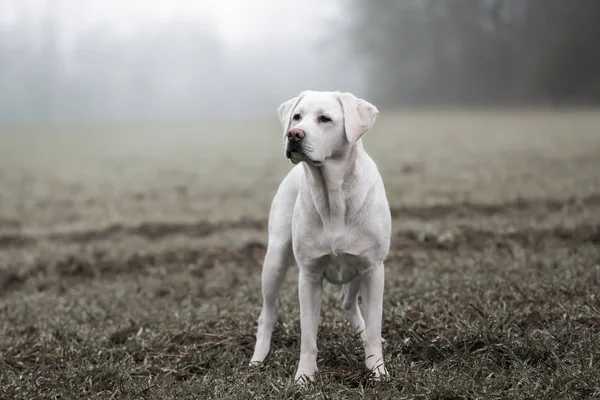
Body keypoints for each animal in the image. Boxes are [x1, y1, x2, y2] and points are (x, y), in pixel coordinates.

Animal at [248, 90, 390, 382]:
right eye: (297, 116)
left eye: (325, 118)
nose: (294, 134)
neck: (333, 195)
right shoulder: (309, 275)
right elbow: (308, 336)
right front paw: (304, 376)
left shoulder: (373, 269)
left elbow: (374, 326)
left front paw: (377, 369)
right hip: (275, 261)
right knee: (267, 314)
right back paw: (258, 358)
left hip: (359, 268)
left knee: (349, 302)